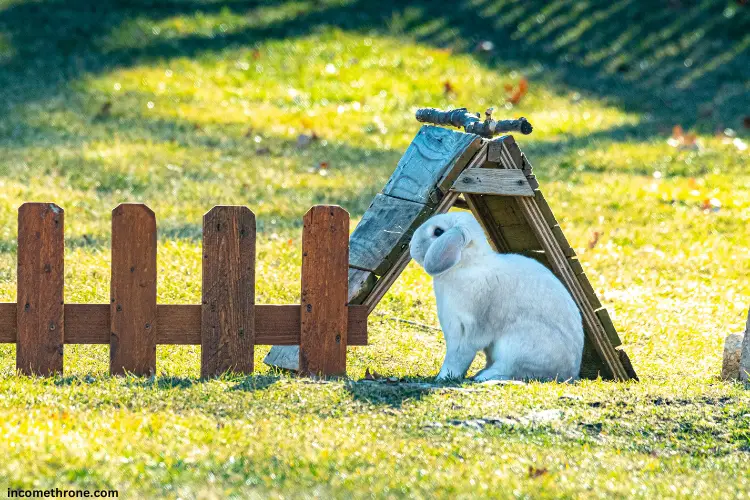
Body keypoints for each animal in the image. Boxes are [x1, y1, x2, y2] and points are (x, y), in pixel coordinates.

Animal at [408, 212, 584, 382]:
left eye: (438, 232)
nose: (411, 245)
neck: (465, 265)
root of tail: (569, 373)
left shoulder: (465, 329)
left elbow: (457, 357)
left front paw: (443, 377)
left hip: (515, 347)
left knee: (509, 369)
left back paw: (484, 376)